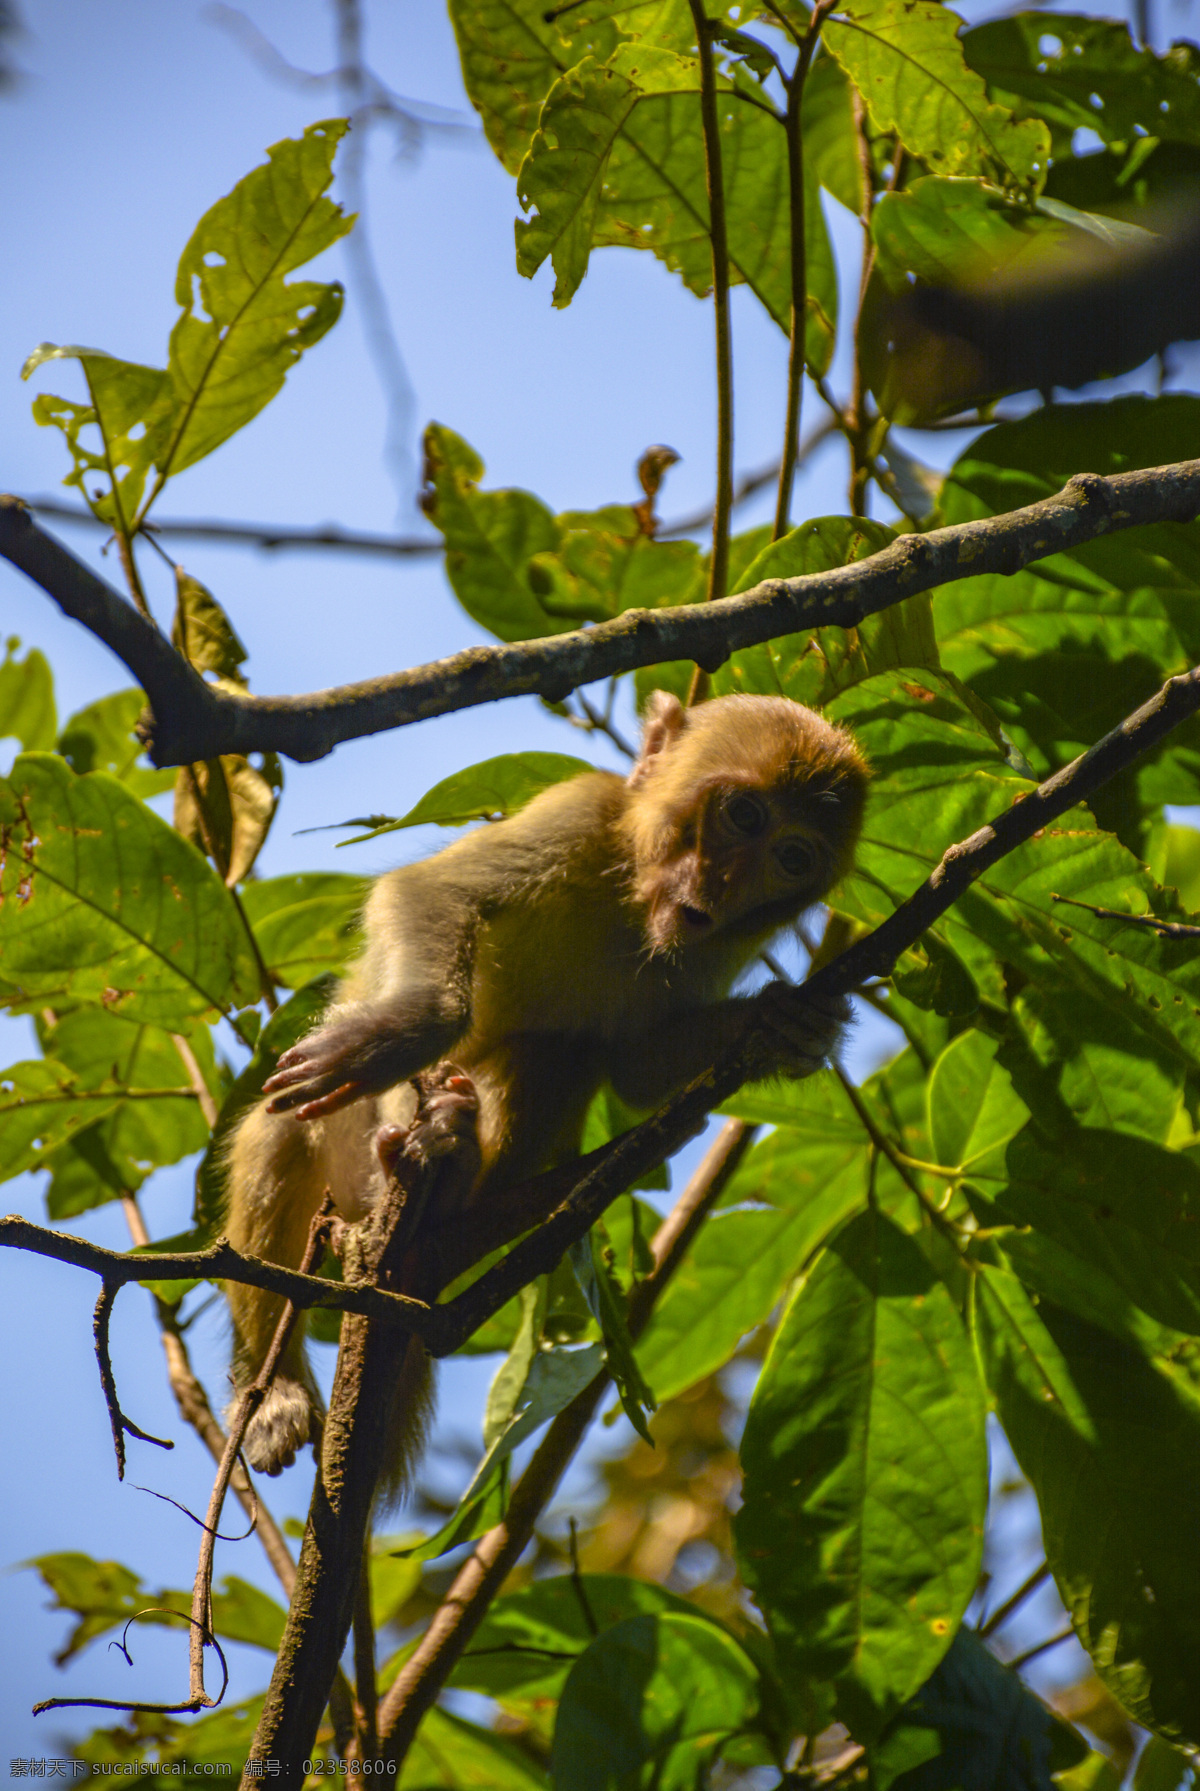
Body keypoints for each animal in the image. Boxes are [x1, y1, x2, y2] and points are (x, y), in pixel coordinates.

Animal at [222, 691, 866, 1490]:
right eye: (744, 816)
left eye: (791, 858)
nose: (721, 888)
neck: (631, 899)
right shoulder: (580, 812)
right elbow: (431, 894)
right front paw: (404, 1030)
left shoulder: (720, 944)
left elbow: (637, 1067)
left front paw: (782, 1023)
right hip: (342, 1165)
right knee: (279, 1129)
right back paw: (275, 1387)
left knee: (557, 1053)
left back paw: (453, 1168)